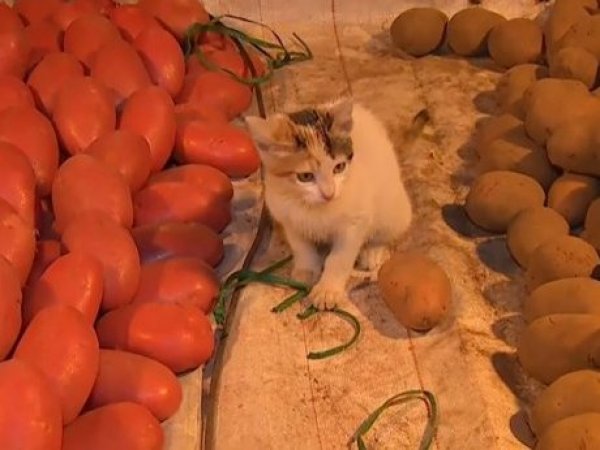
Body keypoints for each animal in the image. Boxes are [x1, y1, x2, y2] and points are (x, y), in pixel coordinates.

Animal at [245, 98, 427, 309]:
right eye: (305, 177)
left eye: (339, 167)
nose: (329, 194)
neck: (313, 208)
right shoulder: (287, 217)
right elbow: (301, 247)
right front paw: (306, 270)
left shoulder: (355, 223)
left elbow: (339, 258)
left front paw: (328, 290)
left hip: (392, 208)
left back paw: (373, 251)